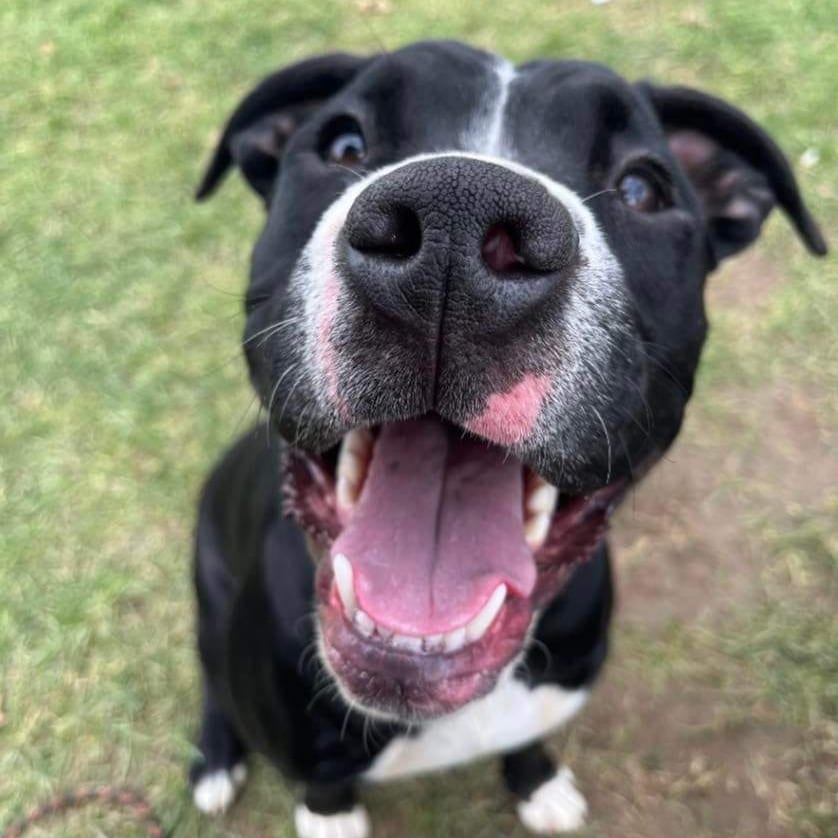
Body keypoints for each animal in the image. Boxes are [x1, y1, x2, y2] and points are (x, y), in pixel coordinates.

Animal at [185, 41, 828, 838]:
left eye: (642, 188)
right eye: (343, 146)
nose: (457, 220)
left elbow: (527, 742)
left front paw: (538, 784)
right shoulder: (312, 757)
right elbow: (326, 792)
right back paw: (214, 761)